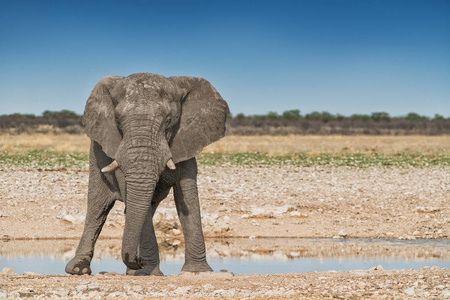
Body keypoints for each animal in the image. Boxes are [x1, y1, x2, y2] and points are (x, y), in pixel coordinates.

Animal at [65, 73, 230, 276]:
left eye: (169, 121)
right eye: (117, 121)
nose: (139, 261)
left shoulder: (186, 144)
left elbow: (188, 198)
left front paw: (198, 272)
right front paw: (149, 273)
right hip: (95, 156)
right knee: (98, 207)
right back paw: (78, 269)